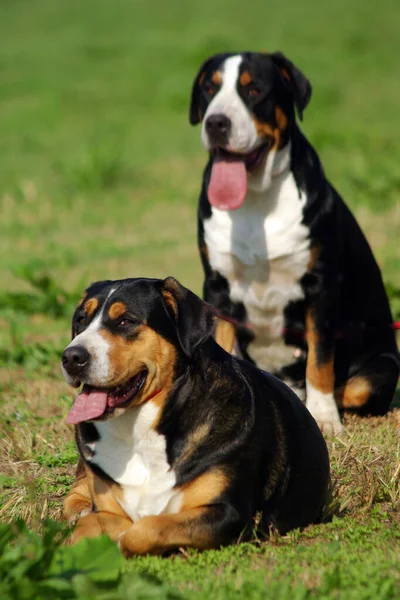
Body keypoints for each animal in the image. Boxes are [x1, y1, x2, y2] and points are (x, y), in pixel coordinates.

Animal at [62, 278, 330, 556]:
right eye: (81, 319)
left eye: (125, 321)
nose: (71, 356)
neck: (140, 433)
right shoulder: (107, 508)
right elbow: (84, 528)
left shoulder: (228, 514)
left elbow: (146, 529)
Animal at [189, 50, 398, 432]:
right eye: (210, 89)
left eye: (254, 89)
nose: (216, 123)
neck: (256, 200)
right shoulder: (218, 287)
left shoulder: (321, 285)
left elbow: (320, 358)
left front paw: (324, 418)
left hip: (383, 365)